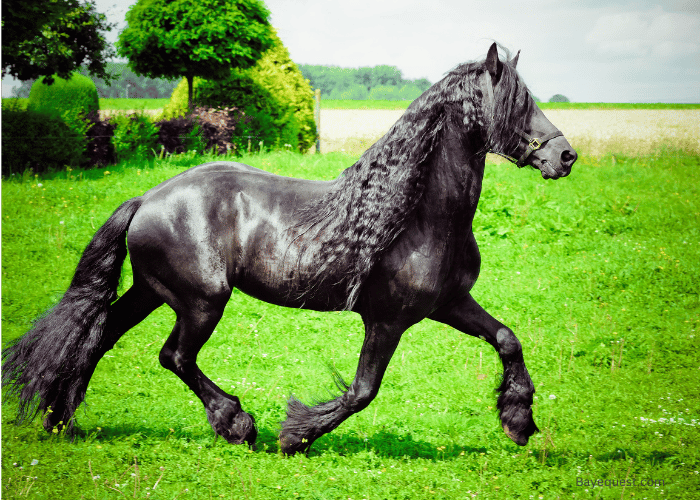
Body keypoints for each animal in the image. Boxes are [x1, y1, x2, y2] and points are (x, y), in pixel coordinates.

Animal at [2, 45, 576, 456]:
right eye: (518, 103)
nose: (565, 155)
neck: (419, 217)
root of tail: (148, 199)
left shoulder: (449, 304)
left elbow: (506, 339)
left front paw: (518, 421)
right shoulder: (388, 320)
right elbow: (362, 391)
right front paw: (295, 435)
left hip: (151, 291)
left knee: (97, 338)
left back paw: (60, 419)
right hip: (202, 300)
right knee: (175, 356)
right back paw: (237, 424)